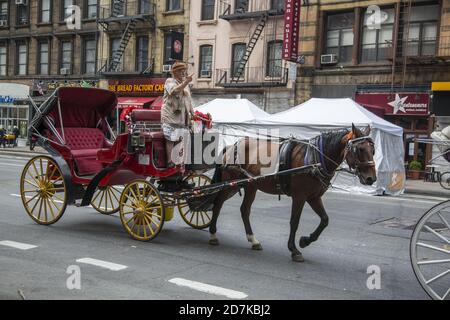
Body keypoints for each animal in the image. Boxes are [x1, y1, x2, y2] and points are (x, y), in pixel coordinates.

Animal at [207, 124, 376, 262]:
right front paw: (294, 249)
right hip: (229, 183)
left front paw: (306, 240)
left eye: (373, 150)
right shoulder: (299, 197)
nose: (371, 178)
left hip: (251, 185)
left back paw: (253, 240)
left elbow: (325, 220)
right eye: (360, 149)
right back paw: (213, 234)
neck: (315, 159)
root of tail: (231, 146)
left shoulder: (314, 197)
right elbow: (294, 221)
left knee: (244, 210)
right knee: (218, 203)